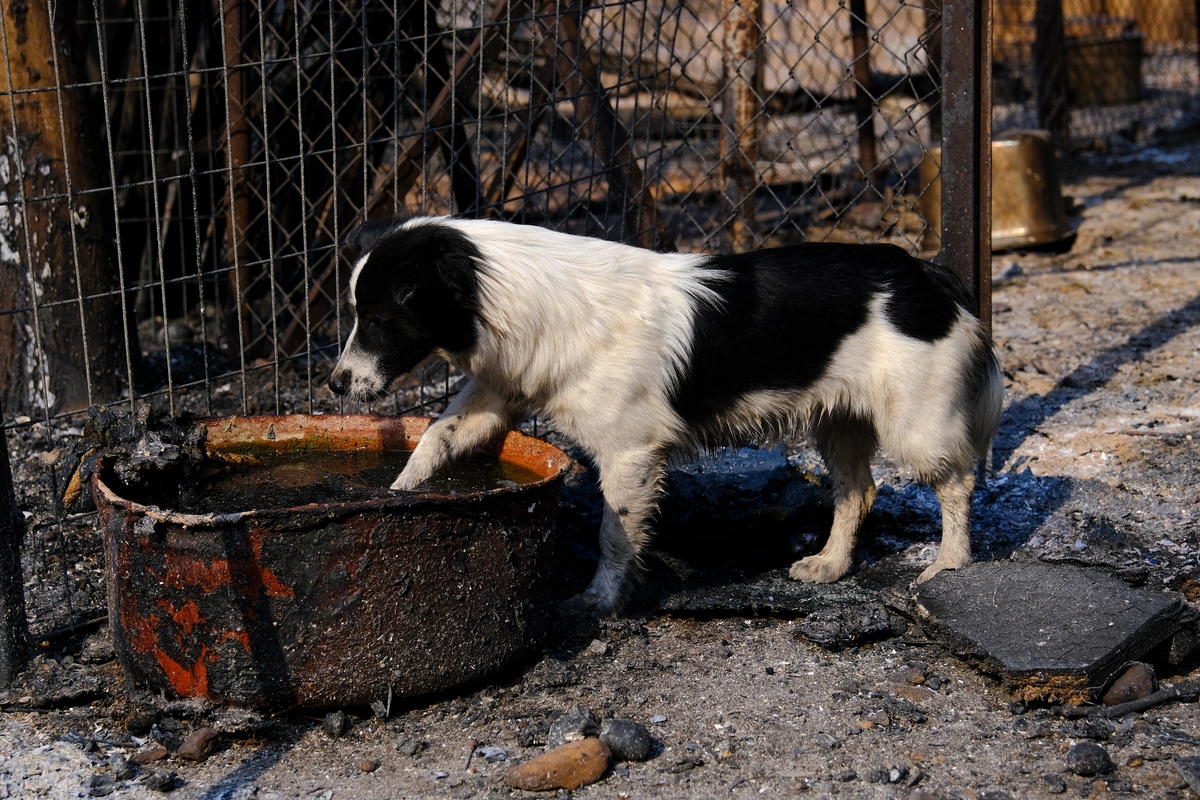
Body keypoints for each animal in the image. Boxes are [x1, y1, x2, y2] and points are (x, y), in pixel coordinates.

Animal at [328, 215, 1003, 618]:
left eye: (381, 319)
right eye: (359, 314)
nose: (335, 384)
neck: (512, 293)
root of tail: (924, 273)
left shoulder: (627, 453)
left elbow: (614, 534)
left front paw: (599, 601)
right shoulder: (495, 394)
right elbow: (435, 440)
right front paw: (396, 498)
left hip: (915, 427)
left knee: (958, 482)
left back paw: (950, 564)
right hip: (840, 420)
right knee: (858, 491)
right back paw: (832, 564)